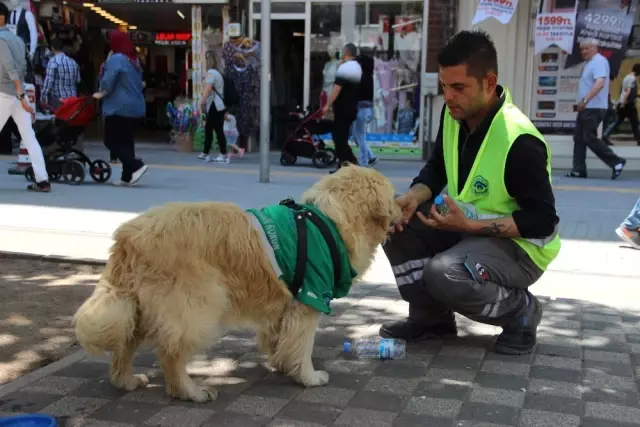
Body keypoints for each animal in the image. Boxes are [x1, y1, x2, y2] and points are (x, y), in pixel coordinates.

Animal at [71, 164, 400, 402]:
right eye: (393, 195)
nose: (402, 207)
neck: (330, 220)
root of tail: (128, 235)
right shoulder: (308, 300)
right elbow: (301, 346)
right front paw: (308, 377)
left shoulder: (284, 307)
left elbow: (279, 341)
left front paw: (281, 364)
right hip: (196, 307)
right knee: (170, 354)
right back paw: (190, 392)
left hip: (138, 307)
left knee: (125, 345)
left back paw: (126, 381)